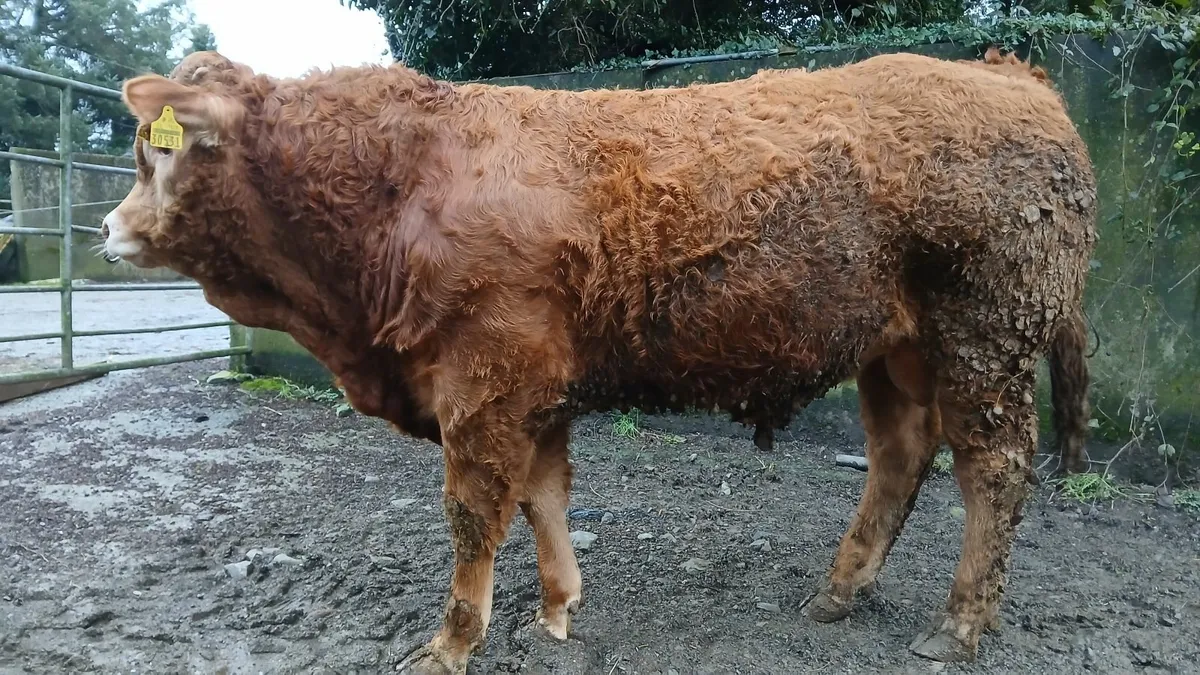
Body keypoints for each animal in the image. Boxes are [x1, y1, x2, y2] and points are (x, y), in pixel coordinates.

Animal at [101, 47, 1095, 673]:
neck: (405, 180)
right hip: (896, 350)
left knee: (995, 470)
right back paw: (837, 593)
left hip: (984, 335)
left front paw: (451, 642)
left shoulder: (484, 383)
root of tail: (1012, 76)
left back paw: (958, 625)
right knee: (900, 456)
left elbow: (474, 516)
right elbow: (544, 496)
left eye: (156, 158)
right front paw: (555, 609)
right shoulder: (531, 388)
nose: (108, 229)